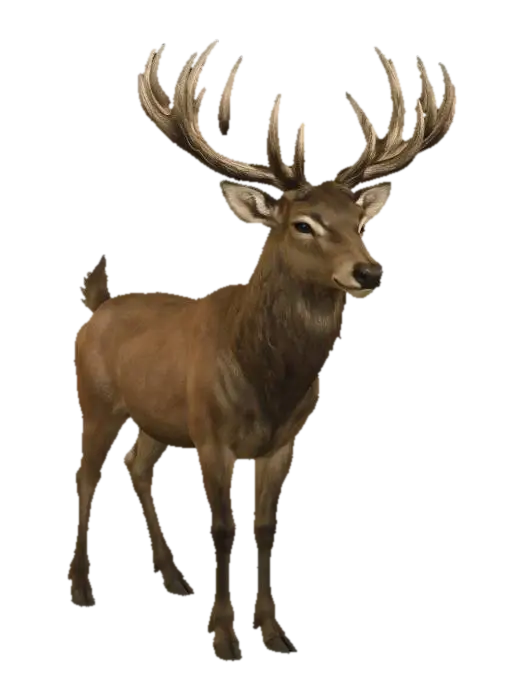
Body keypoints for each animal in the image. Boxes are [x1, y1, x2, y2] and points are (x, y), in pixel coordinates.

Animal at [68, 41, 457, 661]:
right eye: (303, 224)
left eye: (359, 221)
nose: (370, 271)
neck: (269, 381)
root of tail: (97, 302)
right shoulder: (213, 433)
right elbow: (224, 527)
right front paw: (225, 637)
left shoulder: (286, 437)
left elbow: (268, 529)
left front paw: (275, 634)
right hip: (97, 404)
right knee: (86, 476)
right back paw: (83, 590)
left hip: (158, 420)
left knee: (137, 466)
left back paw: (174, 579)